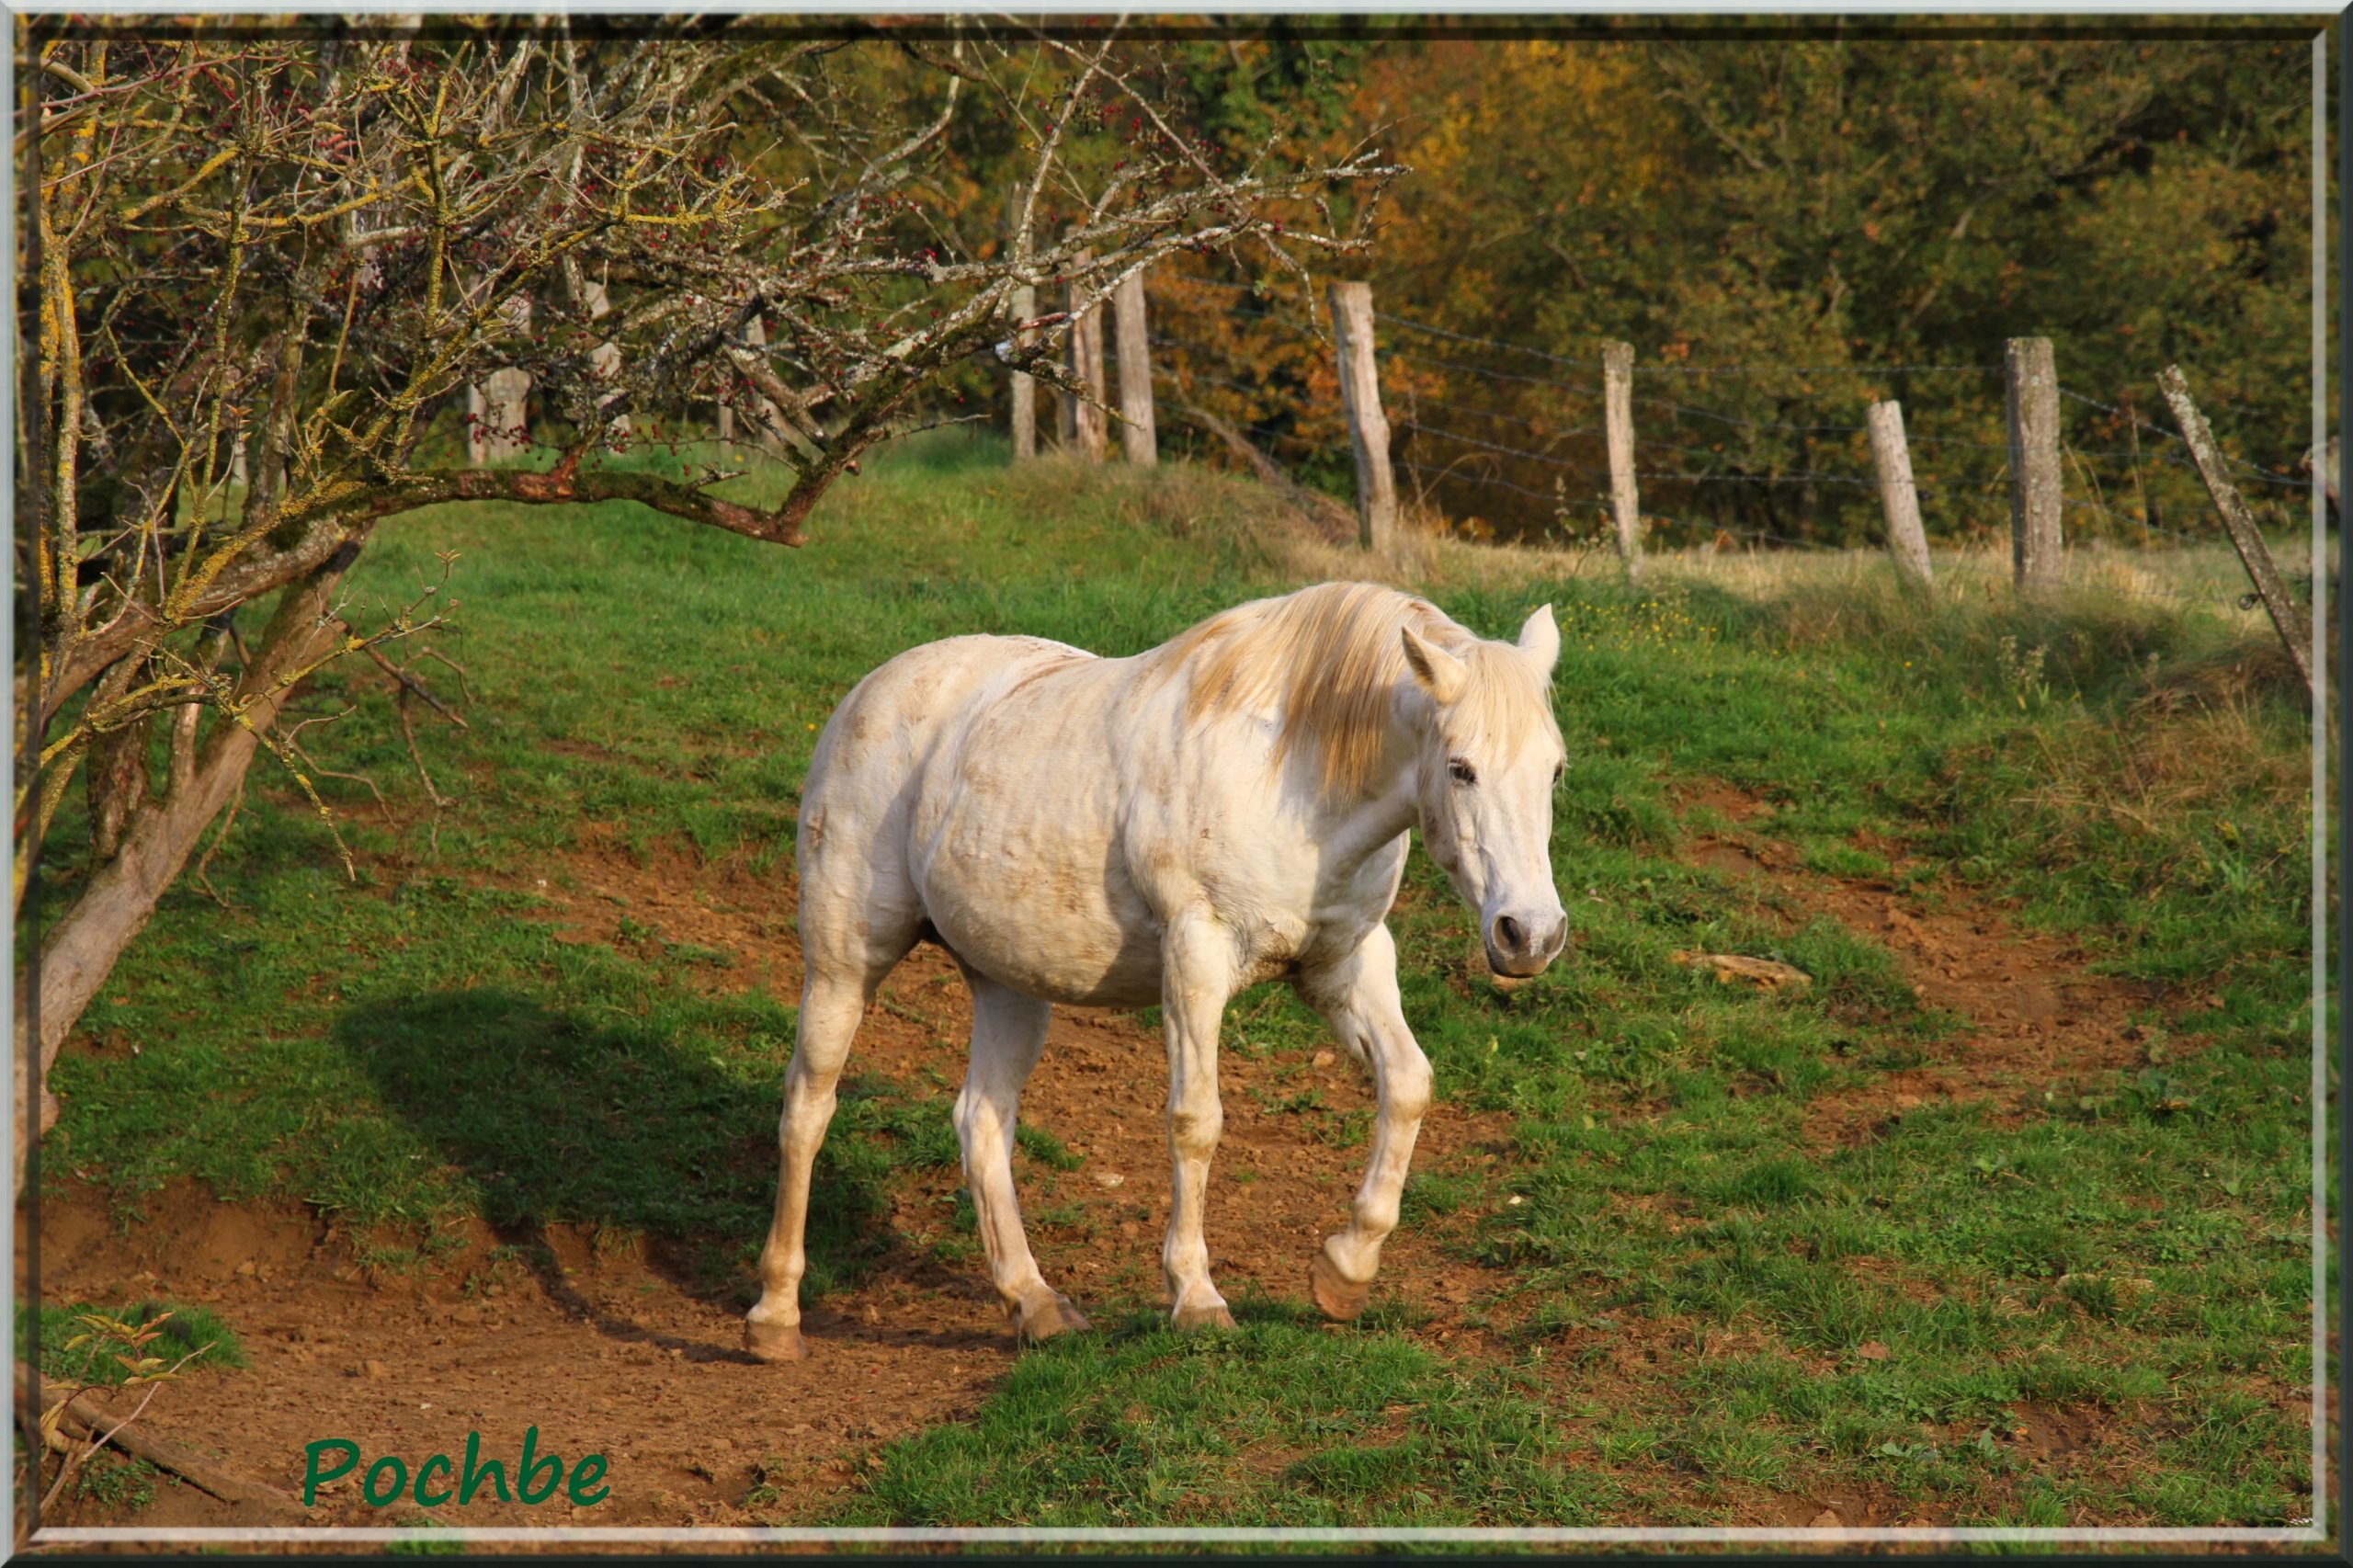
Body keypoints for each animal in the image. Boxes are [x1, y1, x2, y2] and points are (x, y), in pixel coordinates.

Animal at [743, 576, 1572, 1356]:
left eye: (1557, 771)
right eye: (1460, 768)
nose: (1529, 934)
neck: (1293, 774)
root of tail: (872, 692)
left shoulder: (1345, 965)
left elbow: (1407, 1086)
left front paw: (1345, 1271)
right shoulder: (1196, 957)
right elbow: (1196, 1122)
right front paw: (1197, 1298)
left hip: (1010, 985)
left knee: (981, 1120)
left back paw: (1035, 1304)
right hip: (845, 963)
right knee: (808, 1108)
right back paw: (775, 1314)